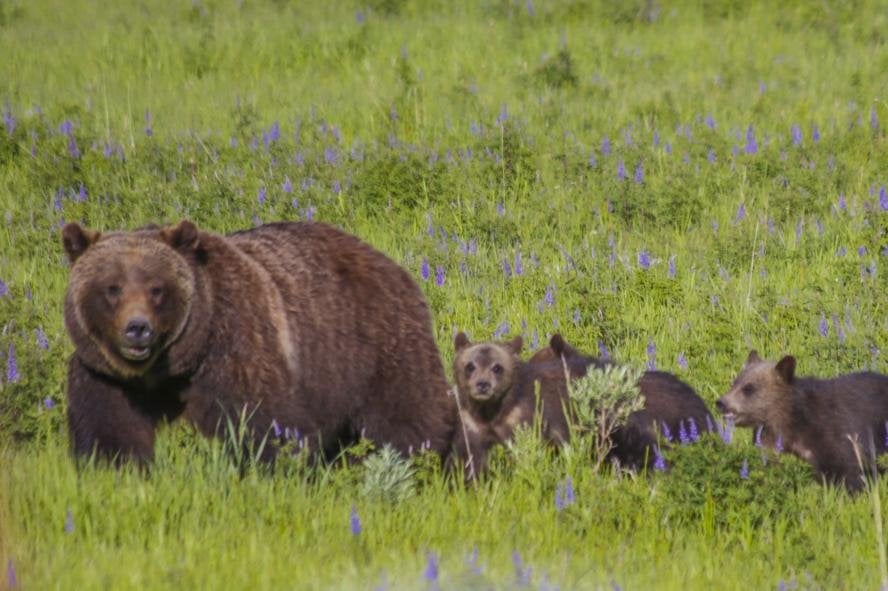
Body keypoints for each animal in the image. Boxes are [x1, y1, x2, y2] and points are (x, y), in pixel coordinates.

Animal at [60, 220, 458, 464]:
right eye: (112, 288)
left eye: (157, 289)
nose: (137, 329)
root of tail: (388, 261)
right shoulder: (106, 377)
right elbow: (110, 432)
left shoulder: (235, 346)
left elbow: (266, 421)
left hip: (375, 346)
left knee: (406, 414)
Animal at [448, 332, 572, 476]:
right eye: (470, 366)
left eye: (497, 367)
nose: (483, 385)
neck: (489, 411)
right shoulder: (471, 424)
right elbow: (469, 458)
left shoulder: (519, 420)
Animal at [716, 350, 888, 492]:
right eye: (735, 382)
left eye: (749, 388)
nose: (721, 402)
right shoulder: (768, 439)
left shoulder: (835, 432)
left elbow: (849, 471)